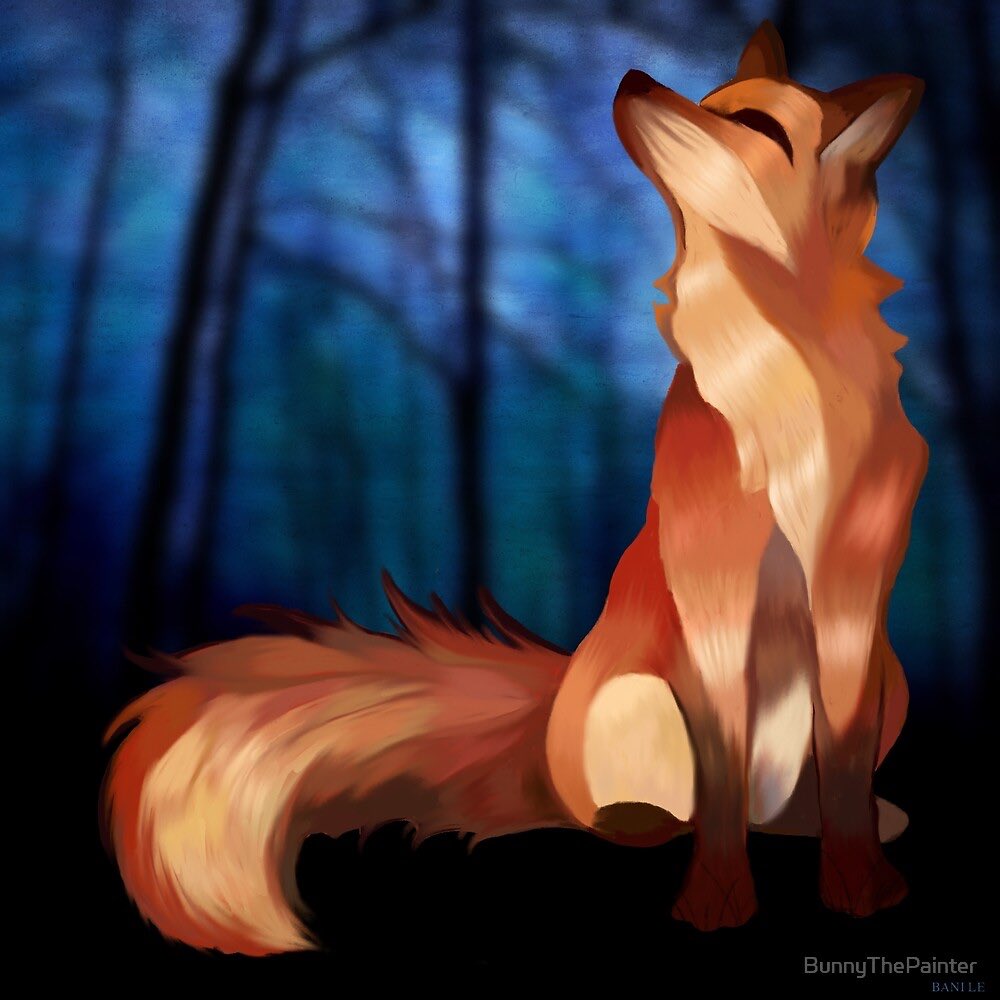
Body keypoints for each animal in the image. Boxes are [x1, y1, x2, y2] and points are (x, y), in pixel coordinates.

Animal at [102, 21, 927, 953]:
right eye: (712, 100)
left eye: (754, 123)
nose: (635, 78)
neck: (778, 392)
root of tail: (546, 714)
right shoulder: (715, 599)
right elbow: (717, 782)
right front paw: (716, 899)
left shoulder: (853, 600)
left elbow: (847, 769)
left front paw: (863, 883)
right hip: (640, 701)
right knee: (651, 814)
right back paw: (657, 823)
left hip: (889, 679)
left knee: (789, 802)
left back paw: (822, 824)